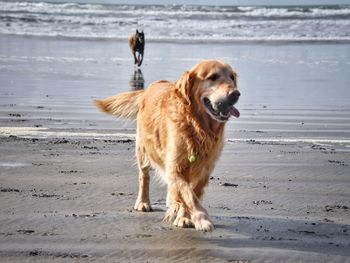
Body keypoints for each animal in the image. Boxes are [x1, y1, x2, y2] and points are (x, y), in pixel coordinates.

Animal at [94, 60, 239, 233]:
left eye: (232, 77)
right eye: (213, 77)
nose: (236, 94)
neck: (197, 126)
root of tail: (153, 85)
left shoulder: (205, 169)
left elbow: (192, 193)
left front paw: (184, 217)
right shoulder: (175, 166)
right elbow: (189, 195)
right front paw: (201, 219)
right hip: (142, 149)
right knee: (144, 177)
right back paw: (143, 202)